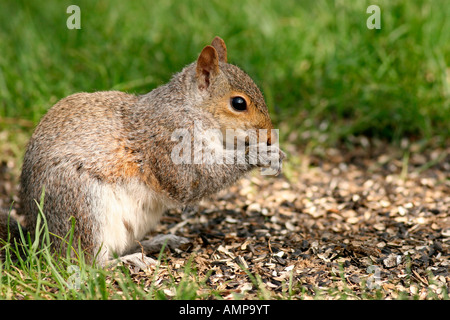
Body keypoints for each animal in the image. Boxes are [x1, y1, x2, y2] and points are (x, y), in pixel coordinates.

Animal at [0, 37, 284, 268]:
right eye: (238, 103)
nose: (270, 135)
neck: (190, 108)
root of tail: (39, 241)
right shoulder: (169, 141)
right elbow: (194, 179)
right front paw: (259, 154)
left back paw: (158, 242)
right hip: (81, 205)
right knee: (86, 262)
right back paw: (130, 260)